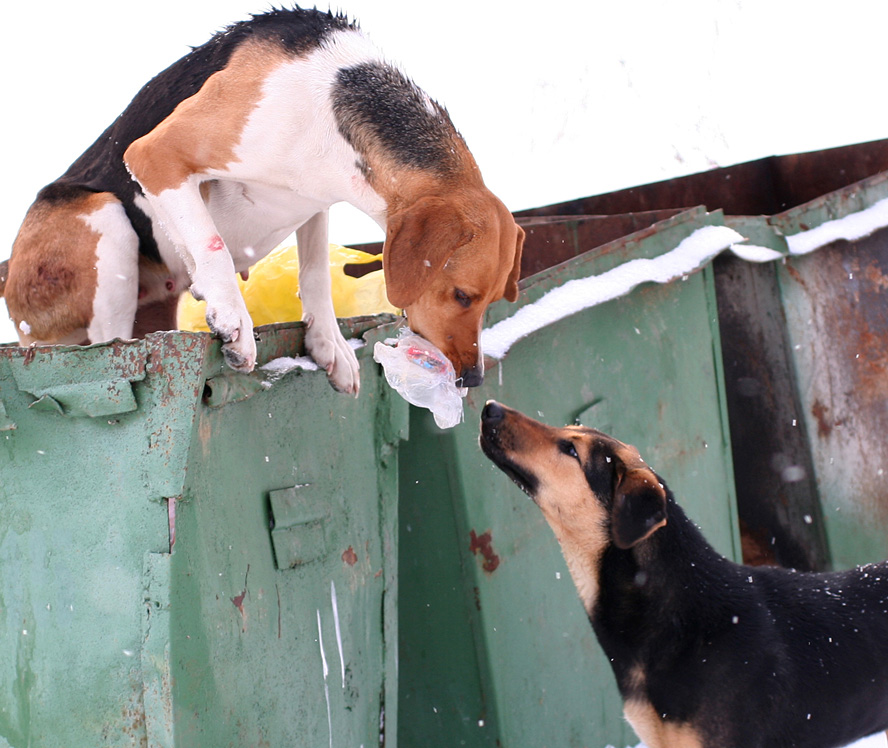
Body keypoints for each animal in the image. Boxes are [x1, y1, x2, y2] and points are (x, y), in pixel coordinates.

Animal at [3, 8, 524, 394]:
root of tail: (9, 273)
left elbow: (314, 275)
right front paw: (233, 321)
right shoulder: (155, 156)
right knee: (110, 347)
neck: (328, 105)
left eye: (494, 299)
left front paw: (328, 344)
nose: (473, 379)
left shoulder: (314, 200)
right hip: (104, 218)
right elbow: (211, 246)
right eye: (461, 295)